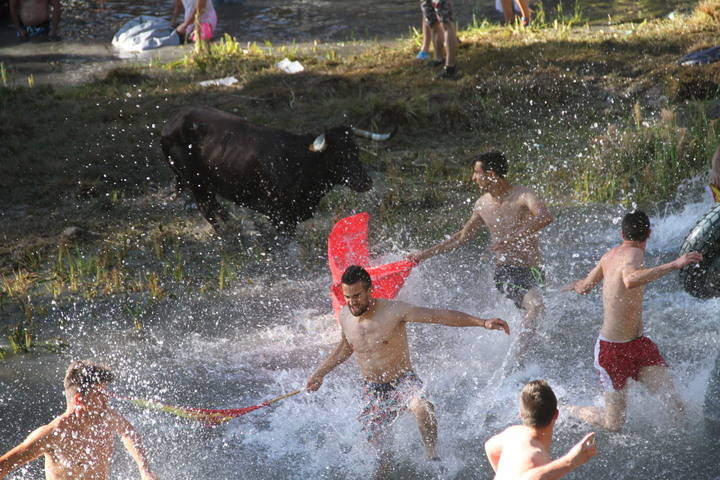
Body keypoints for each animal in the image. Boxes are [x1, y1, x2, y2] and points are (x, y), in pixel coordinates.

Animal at [160, 106, 396, 234]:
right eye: (336, 157)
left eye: (356, 150)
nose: (366, 182)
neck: (300, 162)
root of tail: (173, 121)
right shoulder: (281, 217)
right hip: (195, 182)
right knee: (207, 209)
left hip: (206, 184)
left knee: (215, 206)